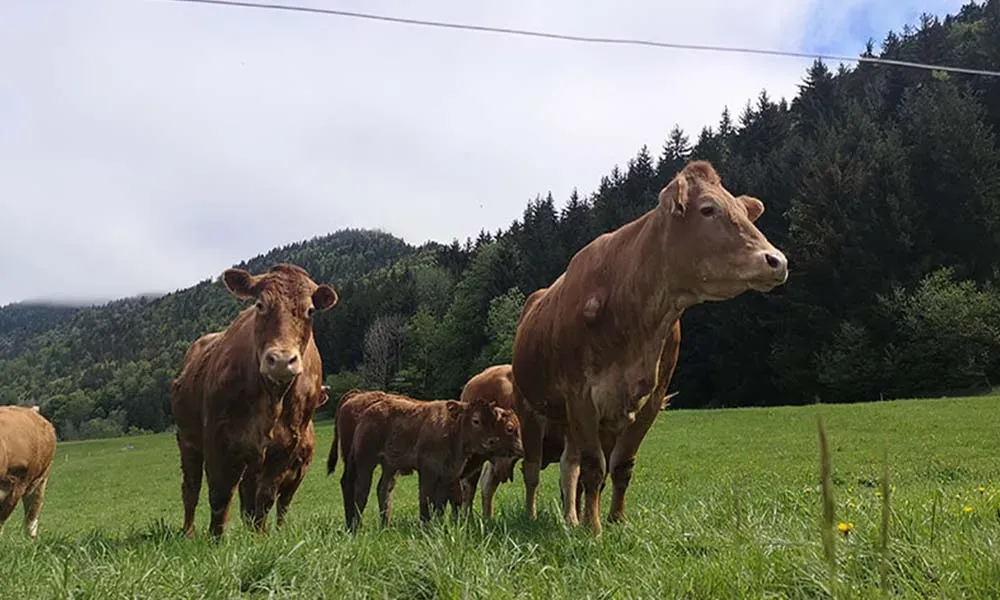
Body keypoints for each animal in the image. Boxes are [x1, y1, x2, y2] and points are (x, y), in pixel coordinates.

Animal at [171, 263, 339, 538]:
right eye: (260, 304)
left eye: (310, 310)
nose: (281, 360)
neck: (272, 399)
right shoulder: (218, 439)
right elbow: (219, 495)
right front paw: (216, 540)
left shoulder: (284, 450)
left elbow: (266, 500)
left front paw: (259, 538)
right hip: (188, 441)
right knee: (191, 488)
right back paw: (189, 532)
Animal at [327, 389, 524, 533]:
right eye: (510, 428)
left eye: (493, 421)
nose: (521, 448)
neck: (452, 429)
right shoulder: (429, 471)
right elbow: (428, 499)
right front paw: (428, 527)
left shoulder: (449, 474)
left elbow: (441, 503)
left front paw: (441, 526)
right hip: (362, 461)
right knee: (359, 490)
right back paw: (355, 527)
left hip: (389, 466)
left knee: (383, 489)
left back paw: (385, 527)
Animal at [511, 160, 788, 535]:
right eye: (708, 209)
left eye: (745, 212)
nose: (777, 261)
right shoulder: (580, 395)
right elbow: (595, 467)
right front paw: (594, 529)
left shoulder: (648, 402)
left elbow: (619, 467)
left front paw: (614, 521)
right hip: (530, 408)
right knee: (533, 469)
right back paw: (534, 515)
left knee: (570, 467)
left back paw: (572, 518)